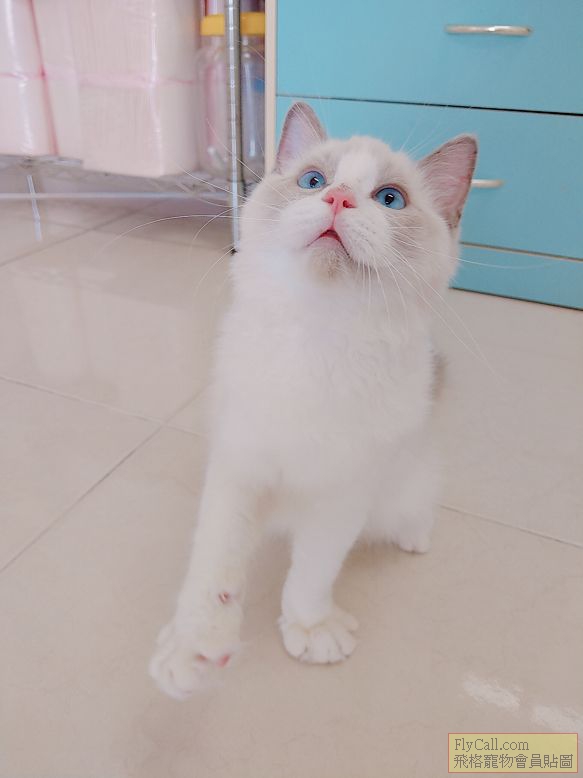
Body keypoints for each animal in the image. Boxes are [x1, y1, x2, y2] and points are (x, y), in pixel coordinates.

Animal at [150, 102, 477, 699]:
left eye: (389, 199)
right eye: (313, 182)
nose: (338, 199)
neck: (318, 339)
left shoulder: (344, 494)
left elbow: (314, 569)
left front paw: (309, 627)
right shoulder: (238, 465)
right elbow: (215, 559)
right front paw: (194, 645)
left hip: (405, 481)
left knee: (412, 507)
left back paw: (414, 538)